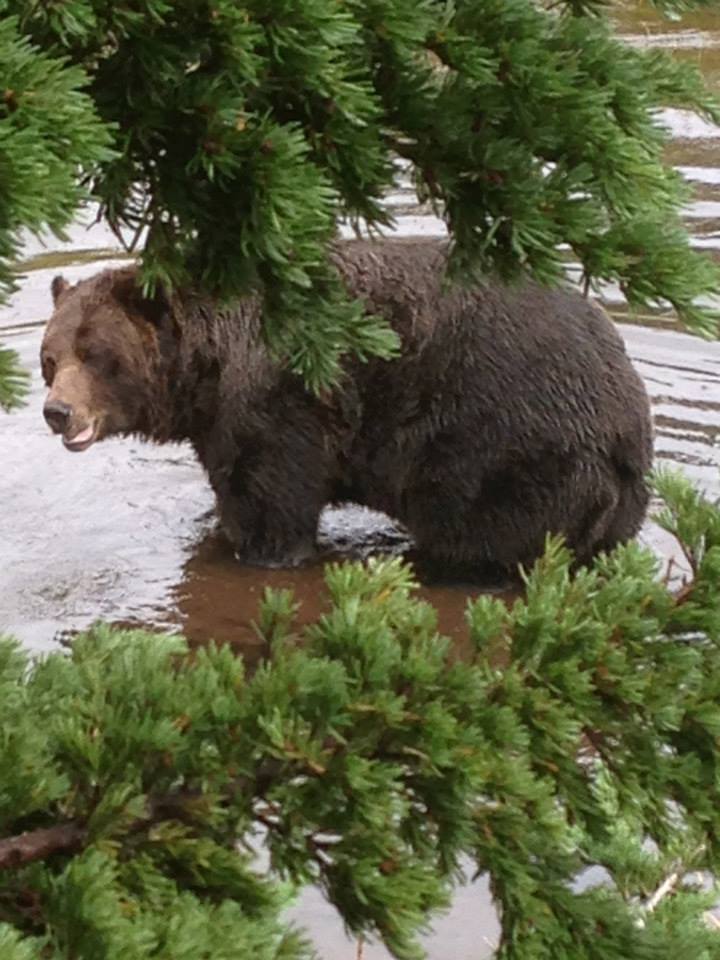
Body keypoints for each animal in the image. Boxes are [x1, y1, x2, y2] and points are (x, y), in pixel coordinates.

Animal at [40, 237, 653, 577]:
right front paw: (216, 529)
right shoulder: (220, 424)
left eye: (96, 355)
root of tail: (630, 426)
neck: (208, 372)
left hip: (505, 447)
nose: (57, 411)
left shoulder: (282, 405)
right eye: (51, 356)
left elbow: (274, 502)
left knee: (481, 534)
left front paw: (262, 553)